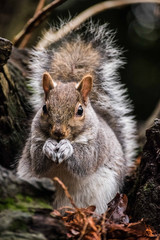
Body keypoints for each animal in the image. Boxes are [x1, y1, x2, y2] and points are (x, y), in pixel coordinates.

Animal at [16, 20, 137, 214]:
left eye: (80, 111)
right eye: (44, 108)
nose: (58, 133)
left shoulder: (96, 146)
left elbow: (84, 162)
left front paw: (67, 148)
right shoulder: (33, 141)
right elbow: (38, 161)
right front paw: (49, 146)